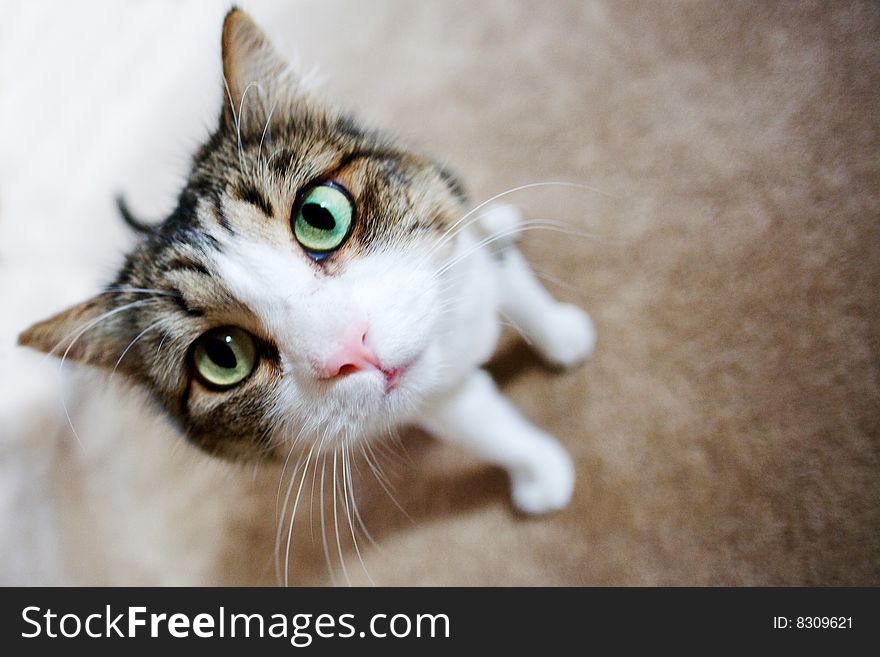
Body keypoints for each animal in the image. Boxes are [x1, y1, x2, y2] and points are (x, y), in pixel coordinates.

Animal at [18, 5, 600, 540]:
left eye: (320, 215)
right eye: (222, 356)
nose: (350, 347)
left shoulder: (461, 235)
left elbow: (511, 283)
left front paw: (562, 335)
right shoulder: (435, 398)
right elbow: (489, 428)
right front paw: (542, 472)